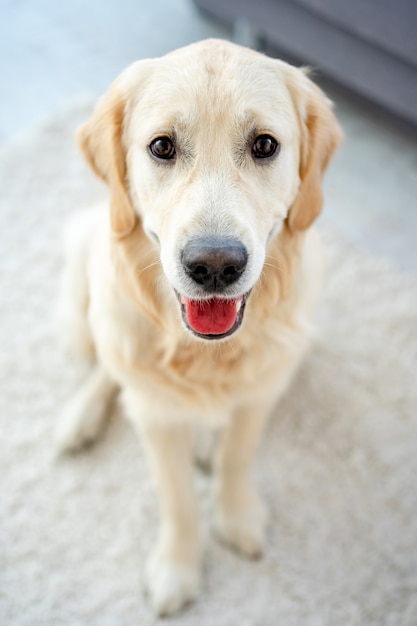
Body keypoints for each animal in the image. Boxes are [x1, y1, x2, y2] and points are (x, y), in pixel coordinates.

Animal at [56, 40, 342, 616]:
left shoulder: (261, 392)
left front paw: (235, 516)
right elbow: (178, 497)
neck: (205, 352)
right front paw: (176, 568)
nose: (214, 266)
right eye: (162, 147)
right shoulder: (156, 415)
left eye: (264, 145)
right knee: (106, 366)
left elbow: (236, 455)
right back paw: (80, 418)